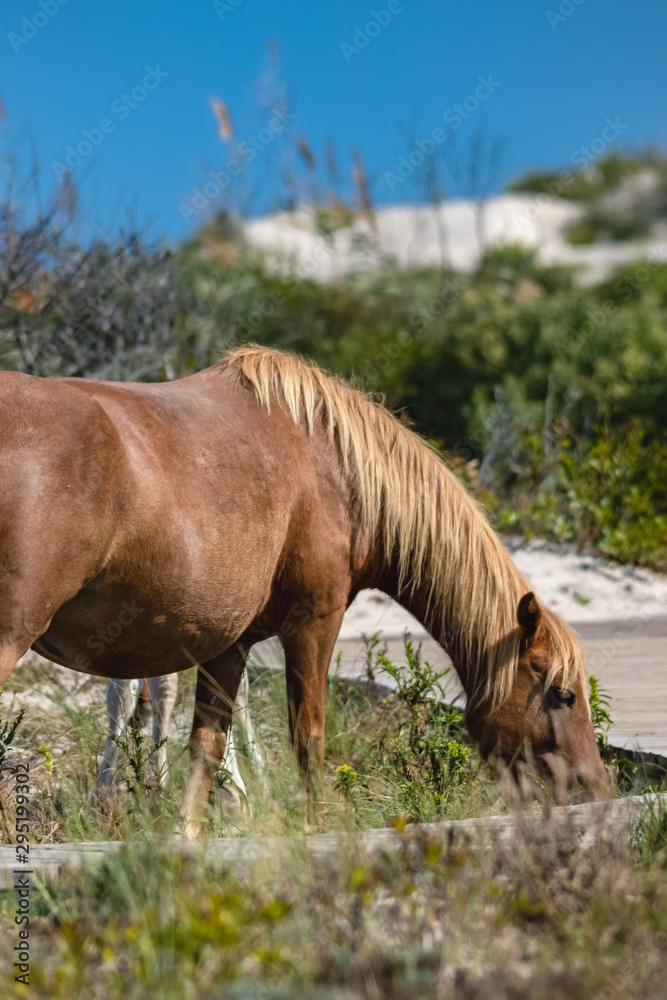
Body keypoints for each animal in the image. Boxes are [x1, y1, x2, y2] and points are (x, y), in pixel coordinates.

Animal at [0, 346, 607, 837]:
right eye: (563, 694)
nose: (597, 787)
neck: (336, 468)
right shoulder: (315, 623)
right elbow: (308, 739)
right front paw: (314, 829)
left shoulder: (228, 645)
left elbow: (207, 747)